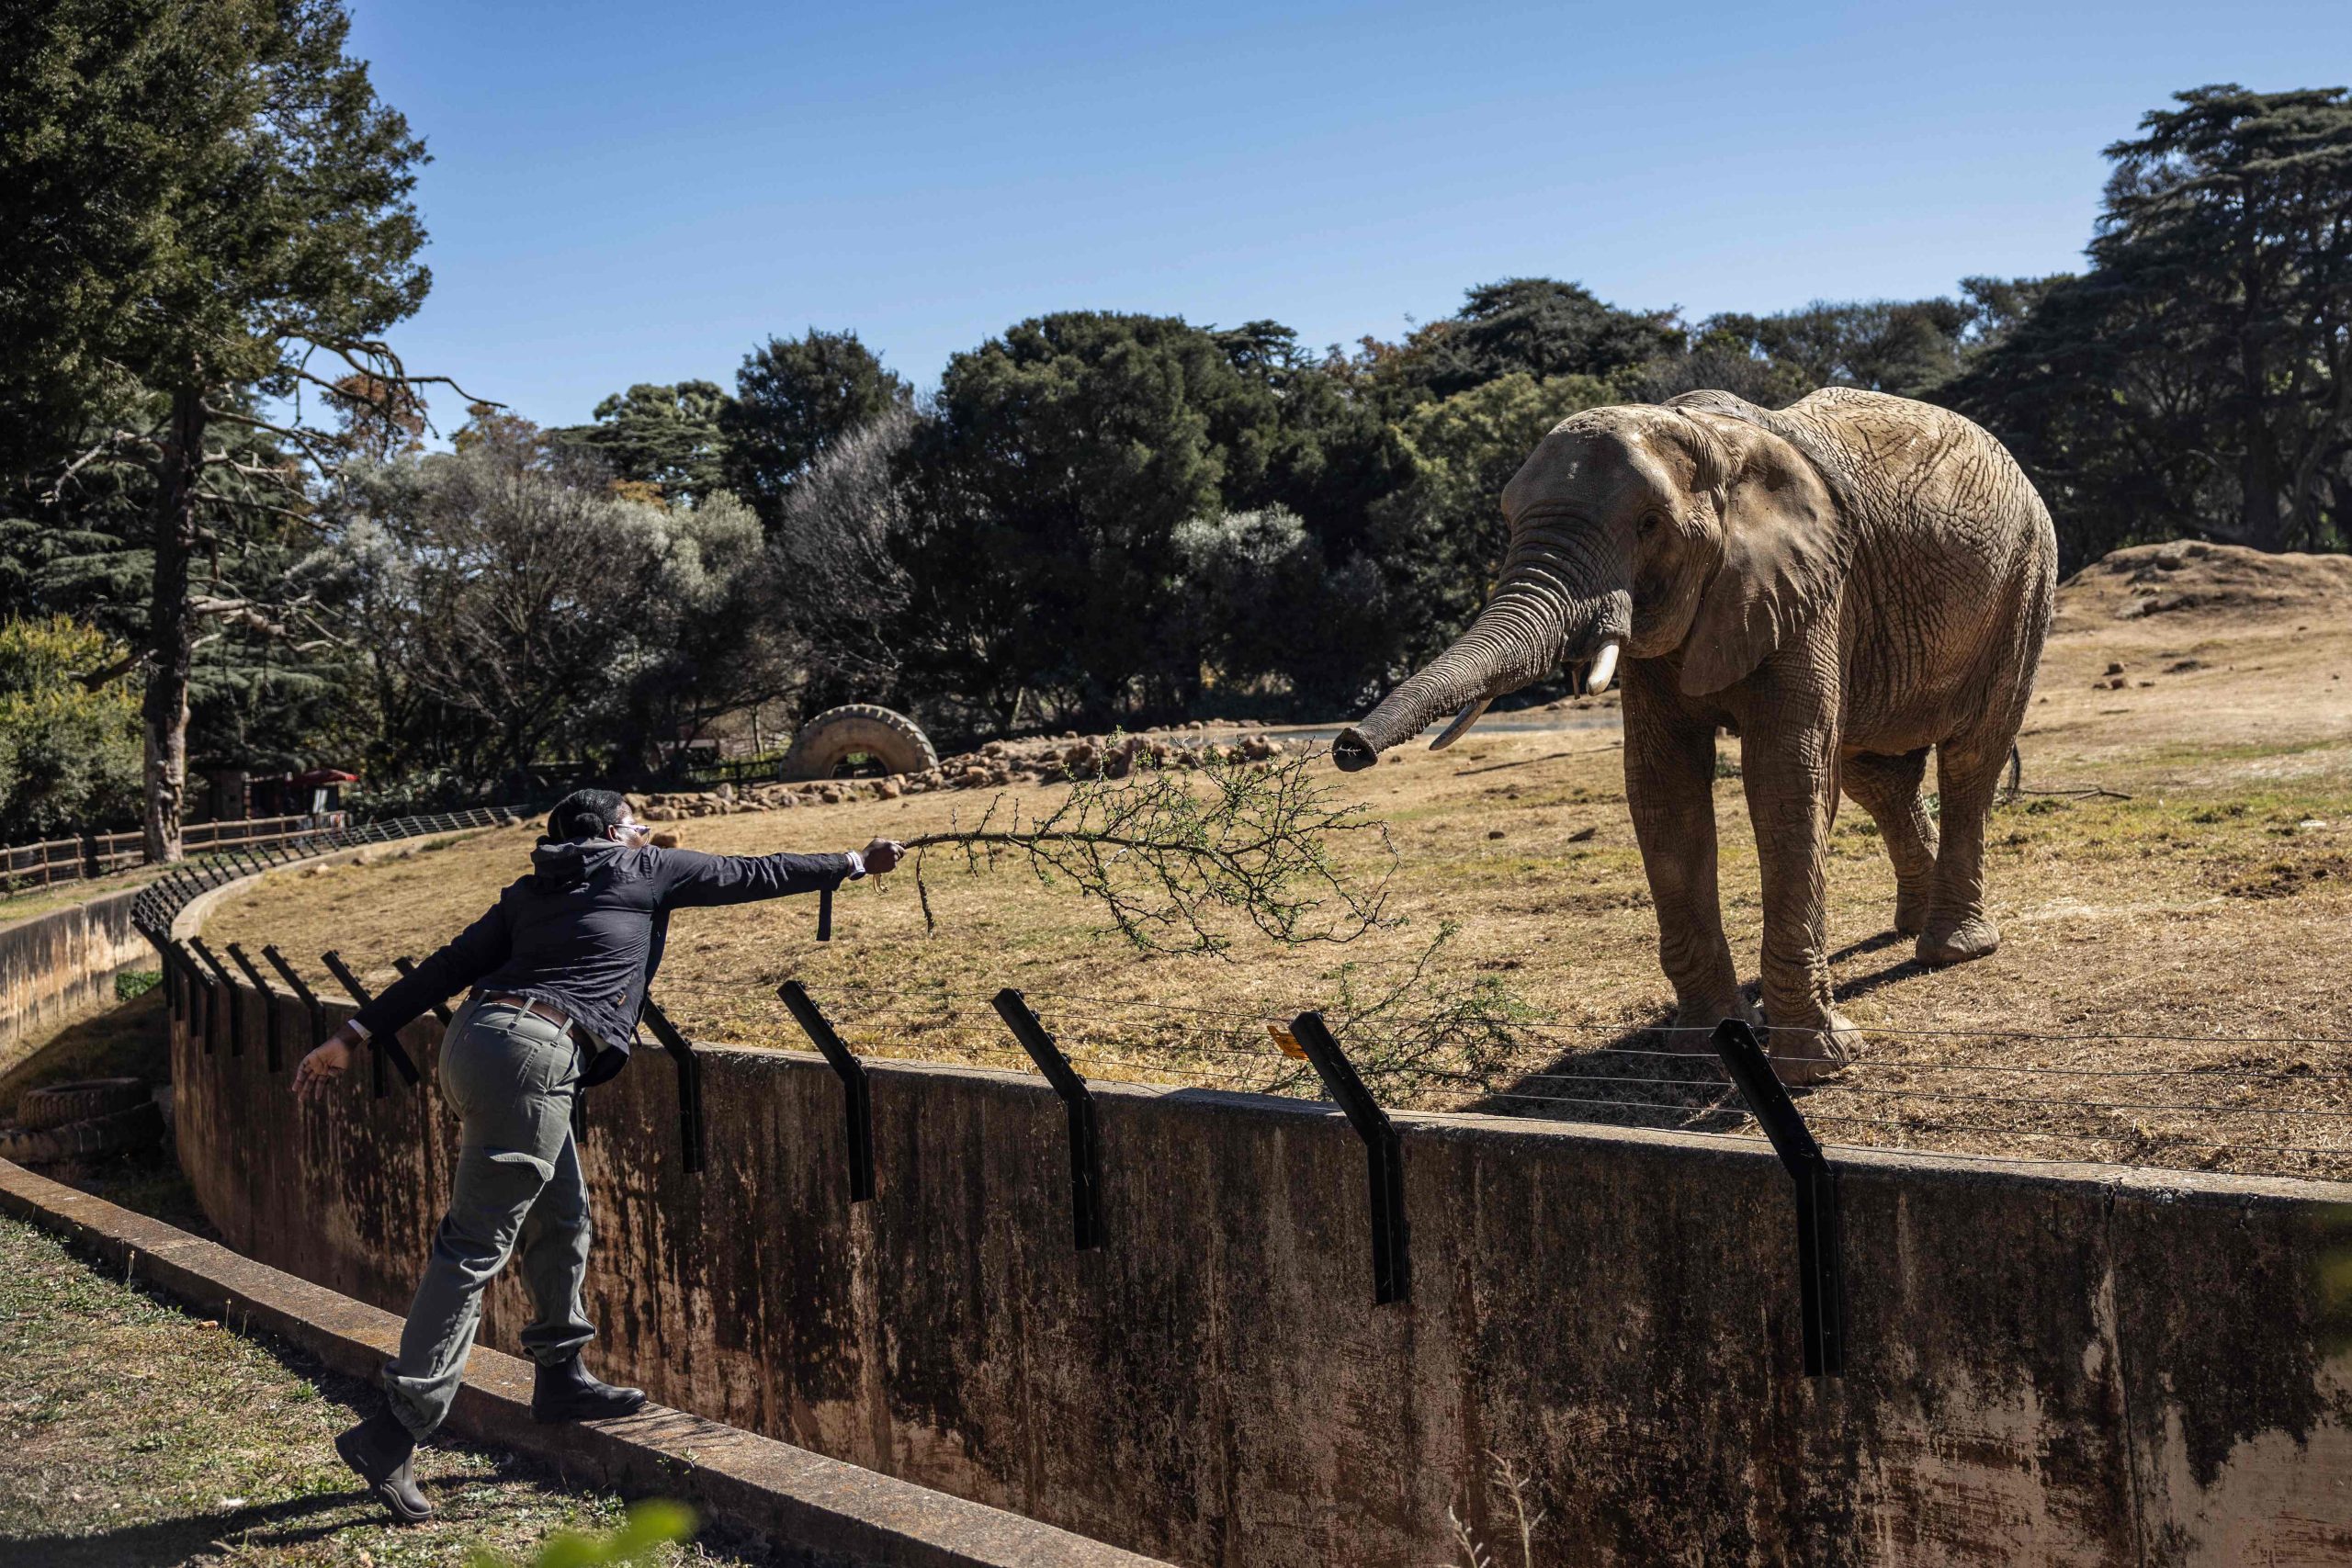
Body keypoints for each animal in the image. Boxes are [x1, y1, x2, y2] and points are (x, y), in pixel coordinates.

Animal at [1332, 387, 2057, 1071]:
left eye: (1649, 525)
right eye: (1508, 522)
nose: (1348, 747)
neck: (1713, 445)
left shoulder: (1815, 587)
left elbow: (1787, 780)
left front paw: (1817, 1065)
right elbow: (1664, 787)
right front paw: (1710, 1043)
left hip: (2024, 585)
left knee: (1970, 758)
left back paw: (1951, 949)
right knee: (1874, 775)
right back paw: (1910, 924)